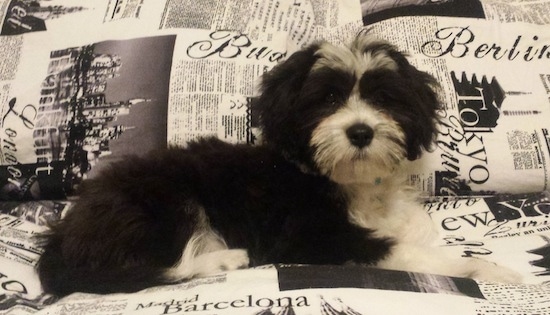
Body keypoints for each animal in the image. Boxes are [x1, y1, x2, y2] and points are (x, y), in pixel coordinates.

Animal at [35, 33, 520, 298]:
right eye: (327, 98)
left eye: (384, 98)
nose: (361, 132)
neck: (348, 181)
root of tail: (64, 234)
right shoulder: (310, 236)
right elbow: (405, 251)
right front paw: (493, 270)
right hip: (162, 201)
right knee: (144, 270)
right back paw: (225, 259)